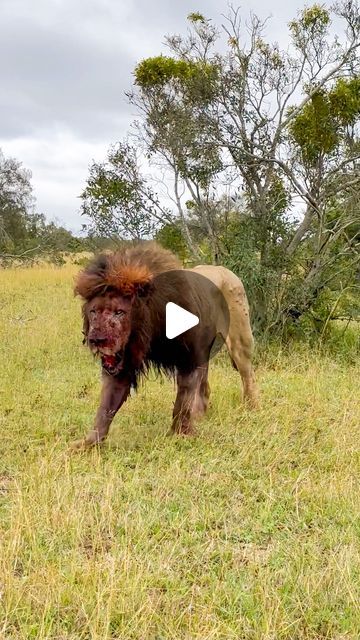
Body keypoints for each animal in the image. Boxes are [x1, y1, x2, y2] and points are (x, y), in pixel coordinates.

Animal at [72, 242, 258, 448]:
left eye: (119, 312)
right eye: (94, 312)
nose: (97, 340)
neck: (150, 330)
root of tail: (226, 270)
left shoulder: (188, 359)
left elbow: (182, 402)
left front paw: (179, 435)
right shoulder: (122, 366)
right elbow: (105, 408)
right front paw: (87, 444)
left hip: (240, 339)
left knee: (247, 374)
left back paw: (251, 408)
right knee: (205, 385)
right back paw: (199, 414)